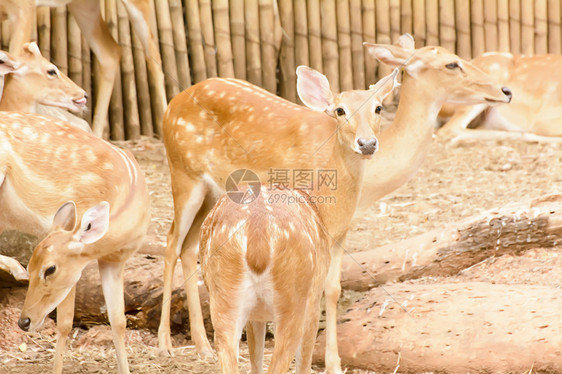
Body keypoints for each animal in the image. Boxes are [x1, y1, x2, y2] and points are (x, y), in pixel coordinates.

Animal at [0, 0, 166, 137]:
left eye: (51, 71)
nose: (83, 95)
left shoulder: (23, 12)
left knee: (153, 55)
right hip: (84, 7)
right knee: (111, 54)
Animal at [0, 111, 149, 374]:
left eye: (49, 269)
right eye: (32, 266)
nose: (24, 321)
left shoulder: (115, 260)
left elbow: (118, 320)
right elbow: (65, 324)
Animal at [199, 186, 330, 372]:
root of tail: (258, 236)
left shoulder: (255, 316)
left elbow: (255, 356)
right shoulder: (315, 300)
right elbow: (304, 363)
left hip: (224, 296)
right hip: (293, 297)